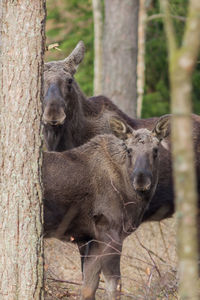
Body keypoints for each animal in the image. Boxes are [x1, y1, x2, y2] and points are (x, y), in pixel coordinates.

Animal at [43, 116, 170, 298]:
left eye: (155, 150)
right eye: (129, 150)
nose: (141, 181)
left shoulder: (92, 239)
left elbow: (89, 286)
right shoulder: (110, 233)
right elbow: (113, 285)